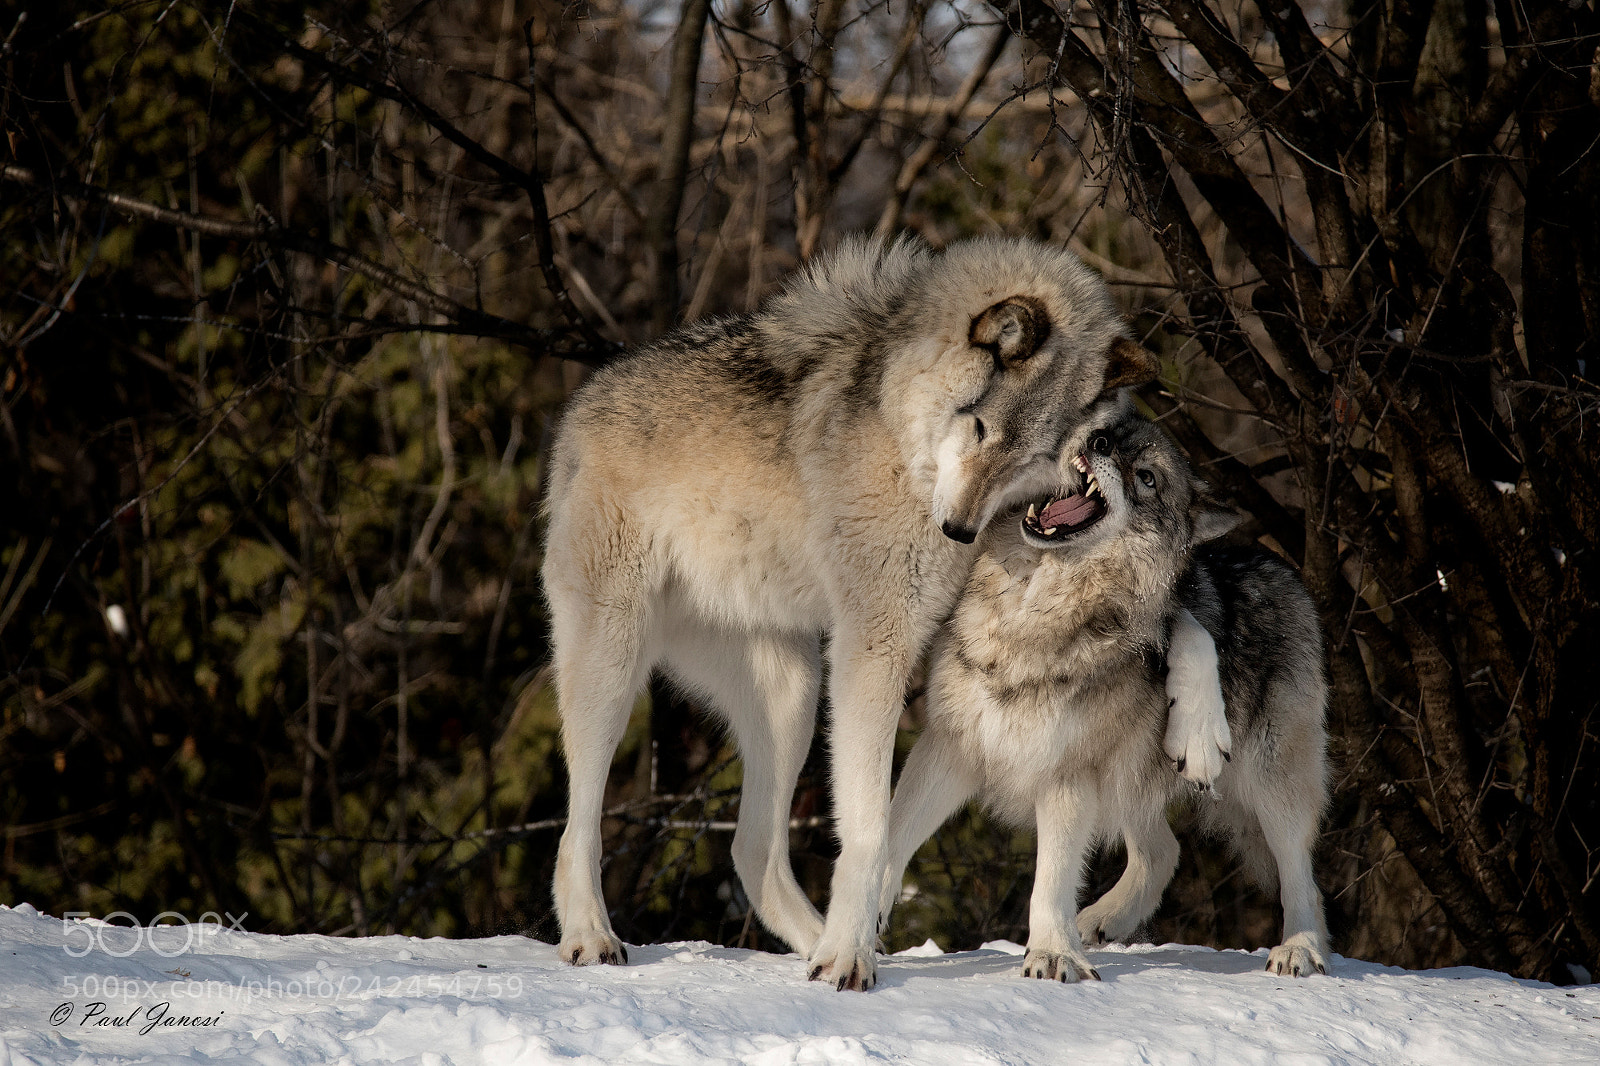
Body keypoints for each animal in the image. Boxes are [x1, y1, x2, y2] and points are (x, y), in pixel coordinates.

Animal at [541, 234, 1160, 989]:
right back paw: (591, 936)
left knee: (752, 850)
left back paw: (812, 941)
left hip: (792, 693)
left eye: (1033, 455)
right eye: (980, 425)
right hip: (612, 667)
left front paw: (846, 948)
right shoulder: (876, 642)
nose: (958, 530)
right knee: (578, 826)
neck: (902, 437)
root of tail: (581, 406)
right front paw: (849, 959)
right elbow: (867, 827)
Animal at [878, 413, 1331, 981]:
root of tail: (1280, 567)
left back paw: (1300, 948)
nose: (1098, 443)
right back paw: (1102, 919)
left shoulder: (1067, 773)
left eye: (1147, 478)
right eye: (1110, 429)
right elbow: (894, 833)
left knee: (1302, 876)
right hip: (1132, 774)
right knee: (1165, 850)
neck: (1031, 598)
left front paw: (1052, 954)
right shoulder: (950, 746)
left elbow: (1050, 881)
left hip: (1270, 781)